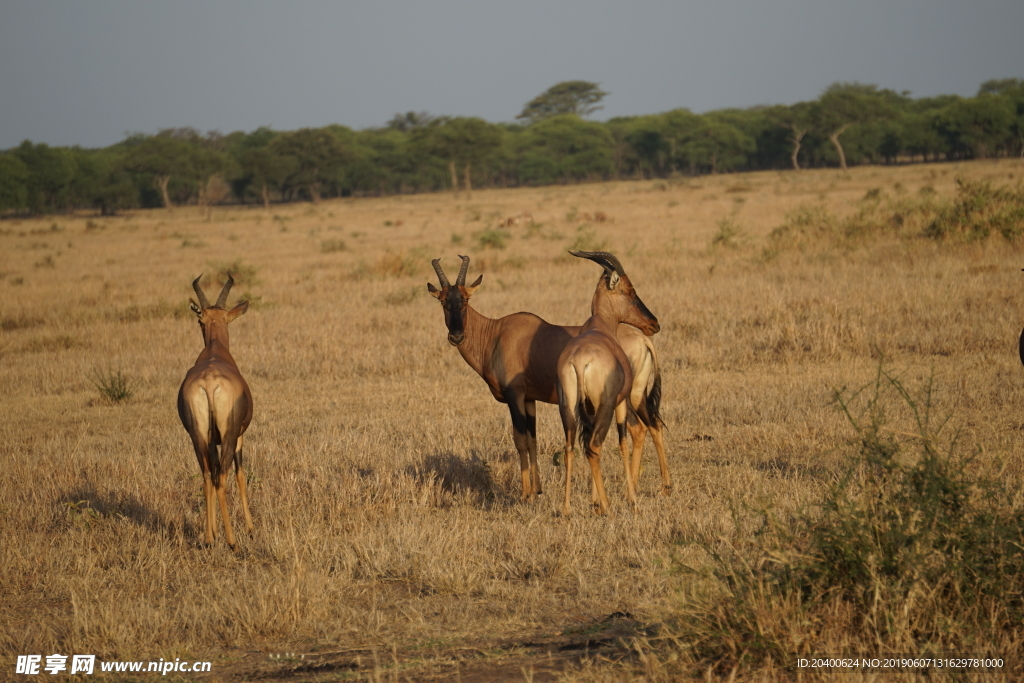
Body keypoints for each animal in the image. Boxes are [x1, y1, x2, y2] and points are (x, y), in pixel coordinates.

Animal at [178, 274, 253, 548]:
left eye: (202, 320)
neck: (214, 349)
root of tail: (210, 382)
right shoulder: (240, 436)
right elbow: (241, 476)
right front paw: (251, 527)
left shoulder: (211, 440)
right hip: (229, 437)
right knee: (221, 478)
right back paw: (232, 542)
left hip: (198, 437)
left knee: (207, 475)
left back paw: (210, 539)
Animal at [557, 252, 659, 518]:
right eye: (630, 289)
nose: (654, 323)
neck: (600, 325)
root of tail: (580, 361)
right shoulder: (619, 402)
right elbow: (623, 443)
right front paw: (632, 502)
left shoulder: (589, 409)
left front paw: (593, 502)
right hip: (607, 406)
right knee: (595, 446)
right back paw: (608, 507)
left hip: (568, 408)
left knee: (571, 448)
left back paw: (567, 510)